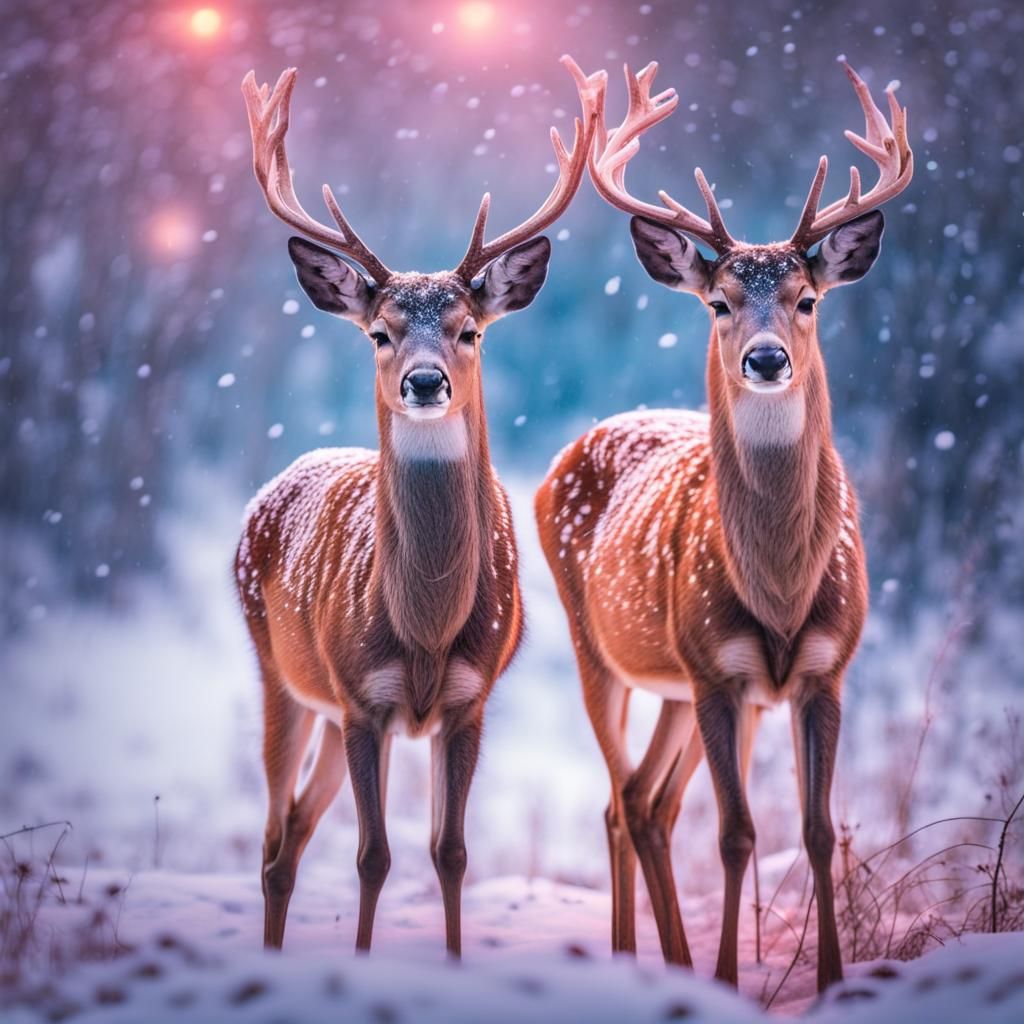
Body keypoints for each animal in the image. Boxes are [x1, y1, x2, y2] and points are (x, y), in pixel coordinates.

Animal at [235, 66, 593, 957]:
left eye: (470, 330)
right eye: (379, 332)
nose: (423, 381)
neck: (426, 627)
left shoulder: (469, 700)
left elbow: (450, 852)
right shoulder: (363, 697)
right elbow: (372, 856)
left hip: (331, 715)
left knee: (293, 834)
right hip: (283, 678)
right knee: (272, 839)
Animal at [536, 57, 912, 992]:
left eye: (809, 299)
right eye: (718, 302)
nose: (765, 358)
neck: (777, 591)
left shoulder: (823, 670)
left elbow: (817, 832)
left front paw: (832, 983)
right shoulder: (718, 669)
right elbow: (739, 833)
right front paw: (728, 982)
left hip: (678, 683)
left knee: (645, 801)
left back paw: (665, 960)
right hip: (602, 650)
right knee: (621, 800)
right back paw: (640, 960)